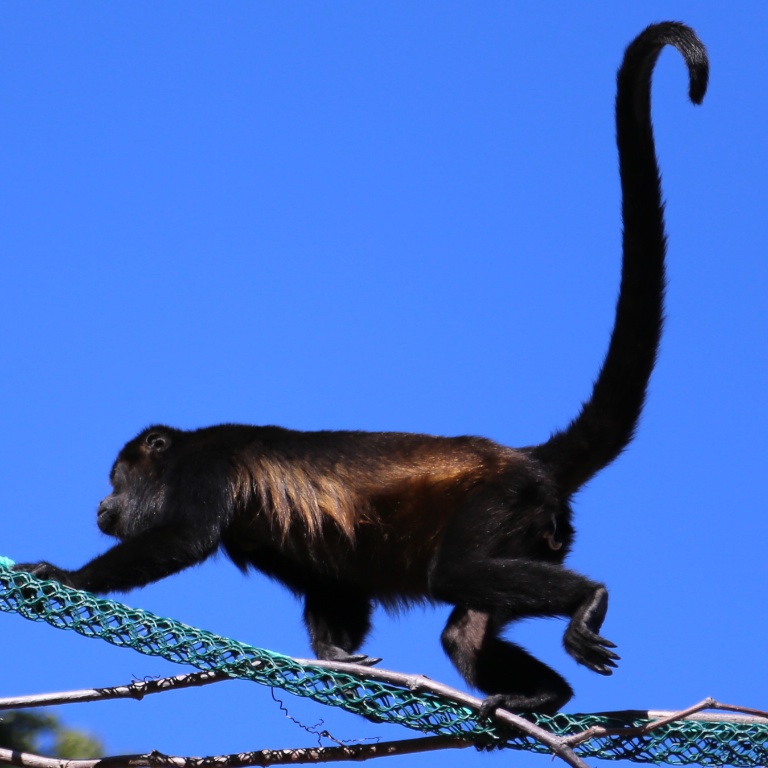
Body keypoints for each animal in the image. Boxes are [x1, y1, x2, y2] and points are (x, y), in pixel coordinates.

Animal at [15, 22, 708, 716]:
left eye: (116, 478)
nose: (102, 503)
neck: (181, 456)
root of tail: (526, 458)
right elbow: (335, 585)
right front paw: (337, 656)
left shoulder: (206, 470)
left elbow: (184, 539)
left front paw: (65, 574)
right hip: (535, 527)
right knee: (463, 630)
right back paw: (542, 696)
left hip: (504, 500)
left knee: (460, 573)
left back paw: (588, 600)